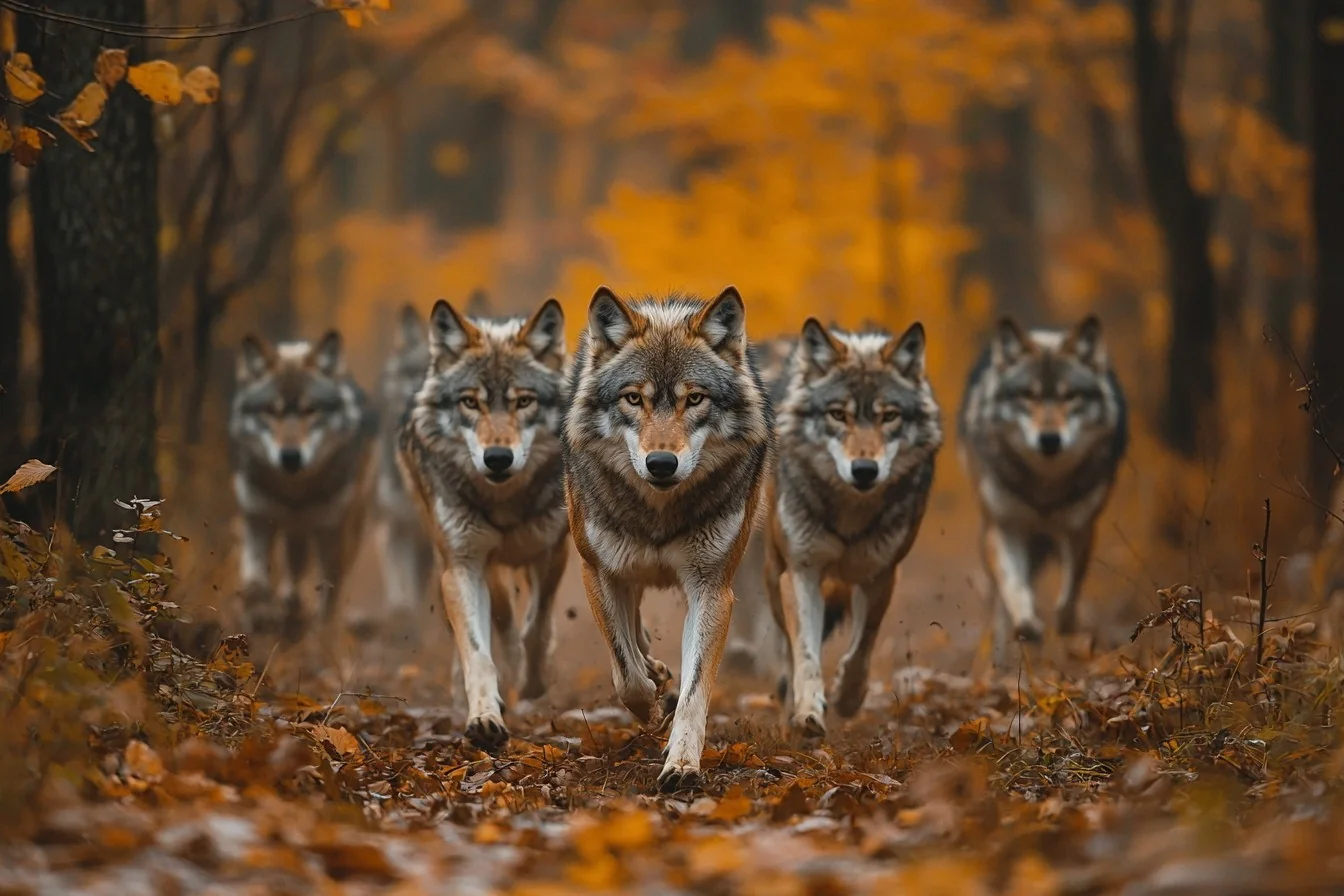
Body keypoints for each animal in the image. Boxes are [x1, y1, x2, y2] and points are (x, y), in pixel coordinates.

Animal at [228, 331, 378, 640]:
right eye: (270, 411)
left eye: (311, 410)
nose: (290, 456)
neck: (294, 494)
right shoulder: (256, 517)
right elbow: (254, 581)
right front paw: (258, 616)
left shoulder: (330, 532)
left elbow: (328, 593)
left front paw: (317, 637)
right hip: (291, 530)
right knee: (292, 569)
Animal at [398, 296, 569, 750]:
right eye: (470, 402)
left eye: (523, 402)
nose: (497, 458)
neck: (505, 503)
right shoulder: (463, 566)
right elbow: (478, 652)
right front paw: (485, 717)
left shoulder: (552, 550)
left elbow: (537, 628)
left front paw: (533, 681)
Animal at [563, 286, 773, 791]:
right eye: (633, 399)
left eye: (694, 398)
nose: (661, 463)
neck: (658, 512)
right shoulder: (597, 570)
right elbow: (625, 674)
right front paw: (653, 705)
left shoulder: (712, 589)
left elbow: (695, 690)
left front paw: (681, 764)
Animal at [764, 319, 942, 737]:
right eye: (837, 414)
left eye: (889, 416)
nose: (864, 470)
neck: (850, 512)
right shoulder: (801, 572)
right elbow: (806, 652)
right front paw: (808, 711)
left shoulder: (880, 574)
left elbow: (863, 647)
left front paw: (847, 697)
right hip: (774, 573)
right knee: (787, 650)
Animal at [958, 315, 1127, 655]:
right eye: (1028, 395)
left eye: (1070, 396)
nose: (1049, 439)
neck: (1044, 488)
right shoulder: (1005, 527)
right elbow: (1014, 586)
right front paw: (1027, 626)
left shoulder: (1079, 528)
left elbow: (1069, 597)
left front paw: (1065, 628)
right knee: (999, 601)